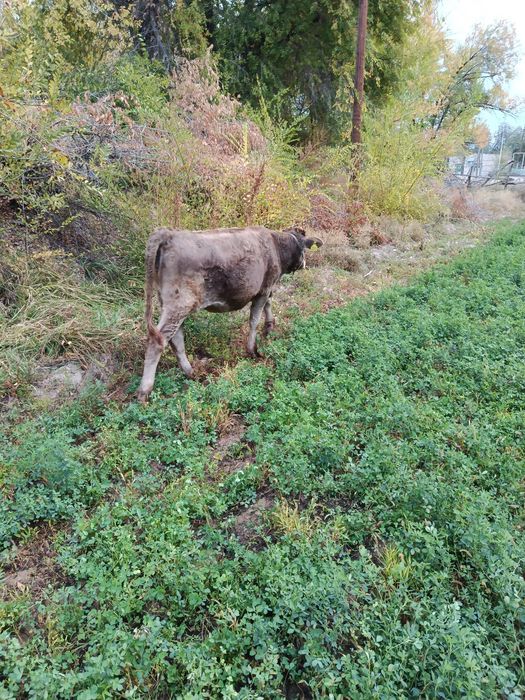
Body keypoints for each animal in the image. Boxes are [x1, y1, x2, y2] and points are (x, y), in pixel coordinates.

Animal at [137, 225, 322, 401]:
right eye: (305, 247)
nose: (304, 264)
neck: (276, 244)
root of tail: (168, 234)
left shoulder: (267, 288)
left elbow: (268, 304)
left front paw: (269, 326)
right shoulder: (263, 288)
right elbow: (254, 319)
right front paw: (252, 349)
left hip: (170, 303)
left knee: (176, 337)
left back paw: (190, 372)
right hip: (179, 304)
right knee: (158, 340)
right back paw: (144, 390)